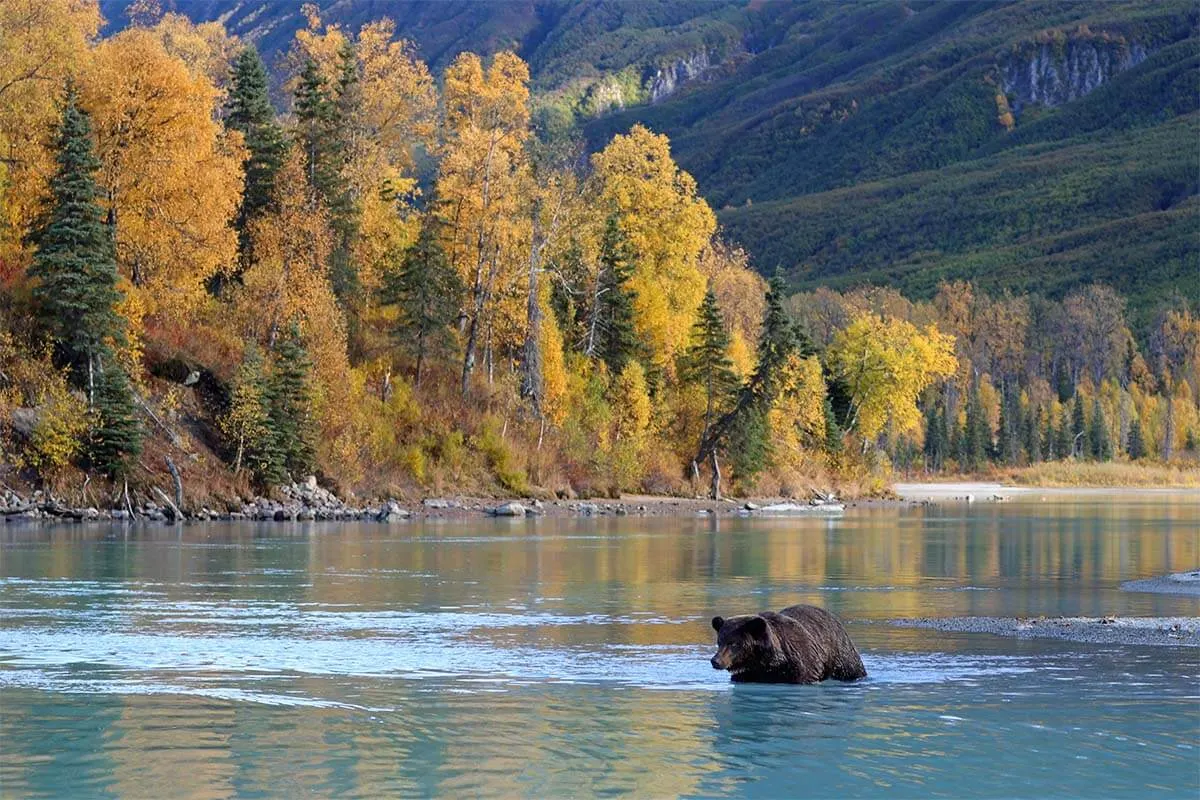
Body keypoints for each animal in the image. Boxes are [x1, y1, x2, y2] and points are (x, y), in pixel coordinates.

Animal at [705, 604, 868, 686]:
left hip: (841, 654)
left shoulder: (803, 665)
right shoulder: (748, 673)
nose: (715, 661)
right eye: (719, 642)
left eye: (734, 643)